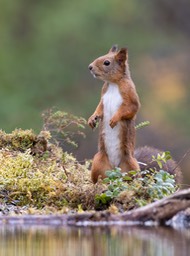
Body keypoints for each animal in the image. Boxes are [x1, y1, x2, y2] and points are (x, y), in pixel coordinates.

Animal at [88, 44, 182, 184]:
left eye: (107, 62)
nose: (90, 67)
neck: (113, 84)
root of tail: (115, 169)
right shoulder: (103, 97)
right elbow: (99, 109)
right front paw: (92, 119)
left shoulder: (130, 94)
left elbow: (131, 109)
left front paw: (114, 119)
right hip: (98, 162)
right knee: (99, 178)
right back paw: (97, 184)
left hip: (131, 165)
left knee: (133, 179)